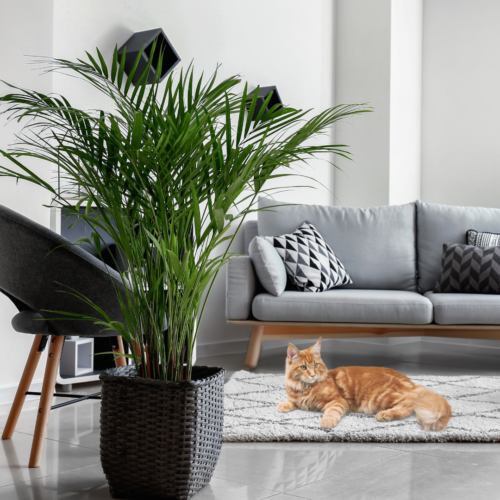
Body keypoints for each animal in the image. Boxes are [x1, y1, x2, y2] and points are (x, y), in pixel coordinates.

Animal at [278, 338, 454, 432]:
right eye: (303, 367)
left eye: (315, 365)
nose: (313, 375)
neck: (304, 389)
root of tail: (409, 380)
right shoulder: (297, 398)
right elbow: (292, 402)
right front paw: (282, 405)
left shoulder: (338, 401)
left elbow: (331, 413)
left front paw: (326, 422)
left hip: (380, 396)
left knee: (410, 403)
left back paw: (385, 415)